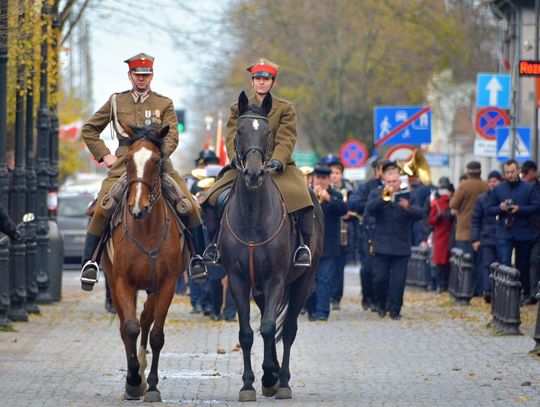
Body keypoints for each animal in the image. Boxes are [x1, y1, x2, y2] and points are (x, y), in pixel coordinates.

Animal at [100, 123, 187, 402]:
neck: (146, 228)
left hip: (152, 287)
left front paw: (153, 385)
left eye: (157, 161)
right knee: (127, 326)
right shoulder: (122, 283)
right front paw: (133, 381)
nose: (137, 208)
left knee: (147, 319)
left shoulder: (167, 284)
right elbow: (129, 328)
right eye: (127, 160)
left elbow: (156, 334)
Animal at [220, 91, 324, 402]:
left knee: (287, 329)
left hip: (303, 281)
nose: (254, 174)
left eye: (266, 132)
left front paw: (270, 376)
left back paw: (283, 379)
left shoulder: (277, 278)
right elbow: (246, 333)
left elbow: (268, 328)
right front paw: (249, 384)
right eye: (239, 131)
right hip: (260, 288)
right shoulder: (239, 279)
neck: (253, 214)